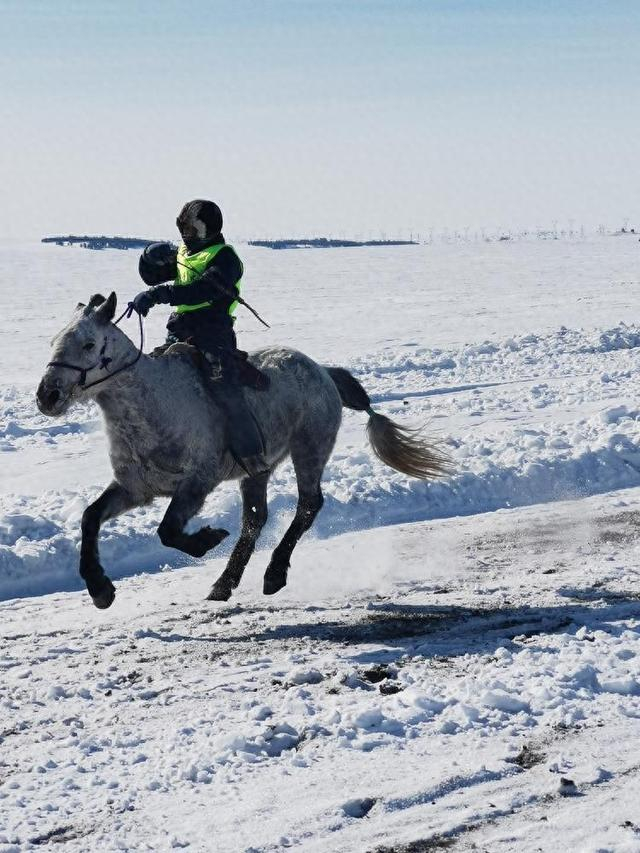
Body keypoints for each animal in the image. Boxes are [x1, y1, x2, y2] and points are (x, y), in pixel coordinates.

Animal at [36, 293, 450, 609]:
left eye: (89, 344)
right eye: (53, 340)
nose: (47, 396)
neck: (155, 405)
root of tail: (323, 371)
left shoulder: (197, 482)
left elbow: (168, 530)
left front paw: (207, 539)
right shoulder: (135, 488)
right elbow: (90, 517)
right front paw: (100, 590)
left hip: (310, 448)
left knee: (308, 505)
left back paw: (273, 574)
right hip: (258, 470)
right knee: (255, 519)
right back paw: (225, 584)